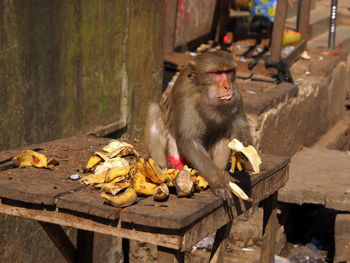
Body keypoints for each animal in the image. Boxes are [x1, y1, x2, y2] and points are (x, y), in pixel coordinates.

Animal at [144, 50, 253, 205]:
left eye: (228, 72)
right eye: (216, 73)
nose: (227, 86)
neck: (203, 92)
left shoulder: (236, 93)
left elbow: (240, 124)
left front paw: (244, 148)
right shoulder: (186, 96)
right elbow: (190, 141)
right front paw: (218, 183)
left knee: (224, 129)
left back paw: (222, 172)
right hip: (175, 155)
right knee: (154, 109)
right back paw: (162, 167)